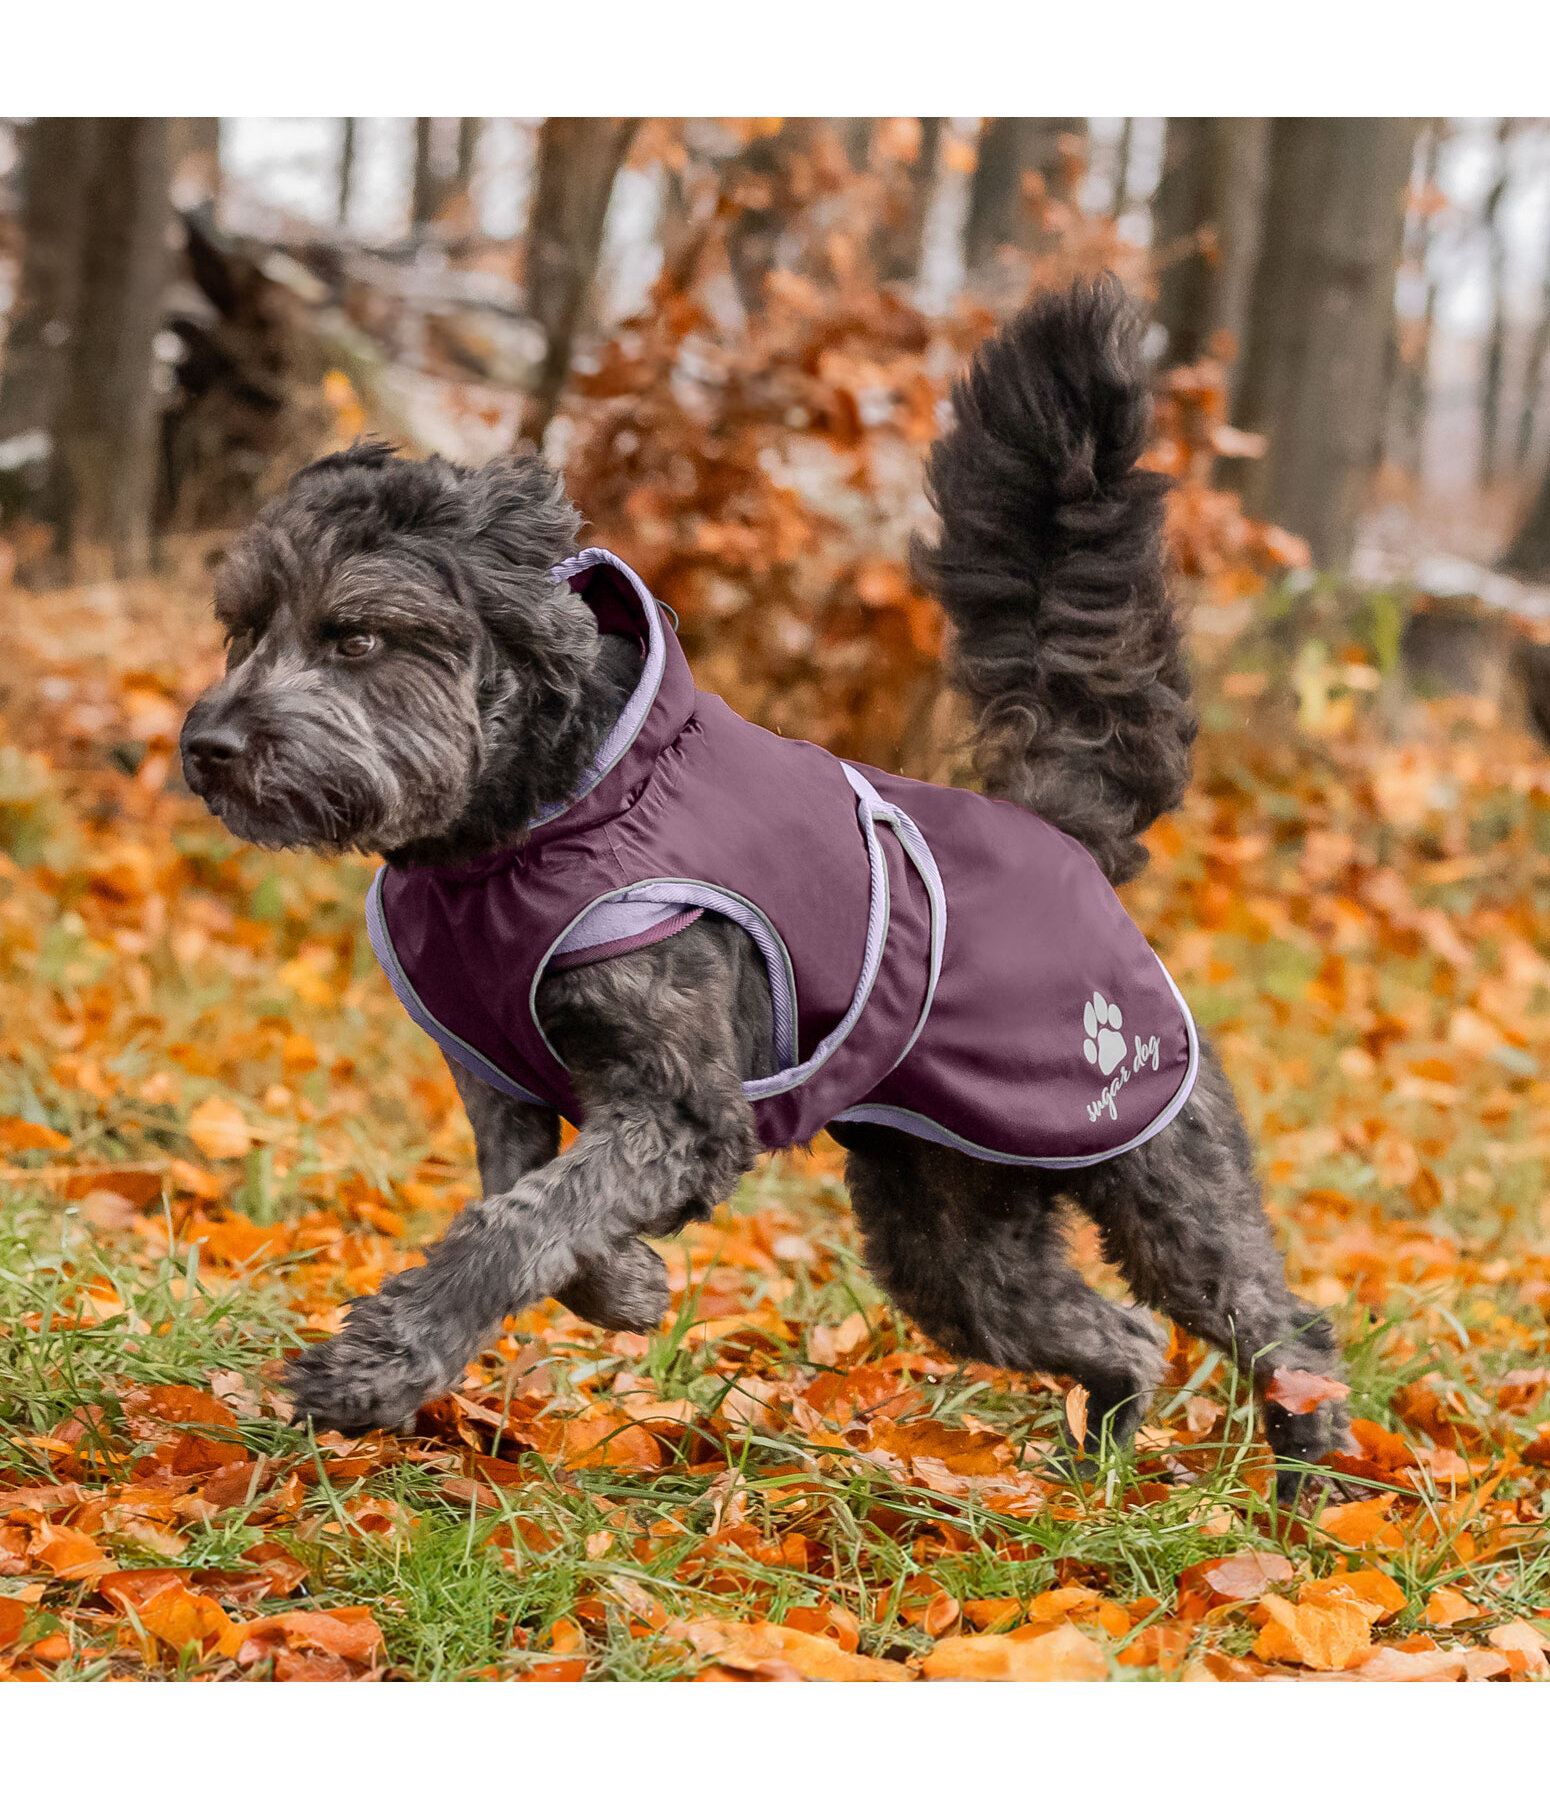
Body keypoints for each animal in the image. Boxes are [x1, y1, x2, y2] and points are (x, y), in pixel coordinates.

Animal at [178, 273, 1339, 1497]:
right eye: (242, 628)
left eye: (355, 636)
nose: (207, 746)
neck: (534, 818)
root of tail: (1061, 832)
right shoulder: (505, 1090)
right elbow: (529, 1212)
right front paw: (625, 1284)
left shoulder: (681, 1108)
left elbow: (512, 1230)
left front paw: (375, 1370)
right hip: (950, 1228)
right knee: (1118, 1332)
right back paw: (1095, 1475)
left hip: (1151, 1155)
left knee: (1275, 1322)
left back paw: (1310, 1490)